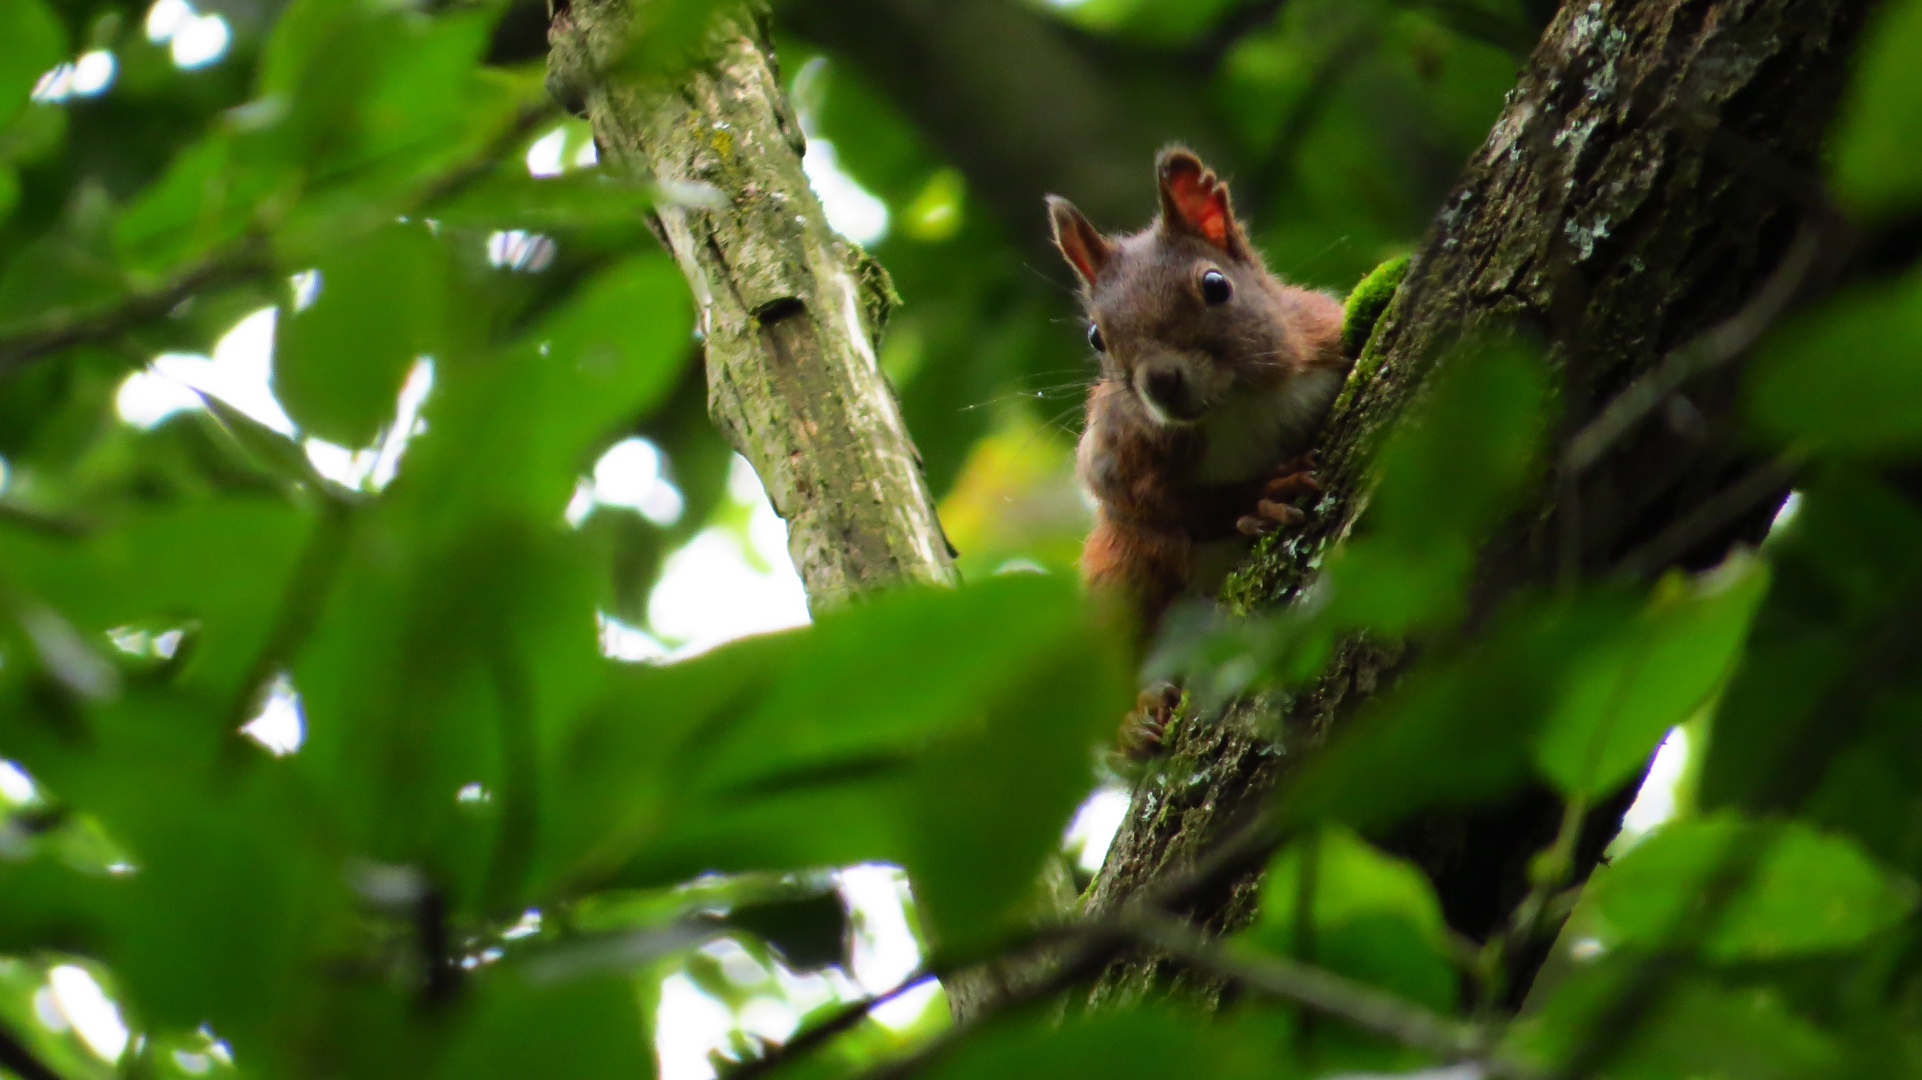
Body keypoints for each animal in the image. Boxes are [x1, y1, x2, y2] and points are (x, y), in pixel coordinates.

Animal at [1045, 147, 1345, 753]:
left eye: (1215, 285)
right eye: (1095, 336)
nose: (1159, 382)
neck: (1231, 407)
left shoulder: (1325, 335)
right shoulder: (1112, 456)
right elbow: (1177, 507)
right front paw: (1261, 497)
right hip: (1121, 574)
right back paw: (1135, 721)